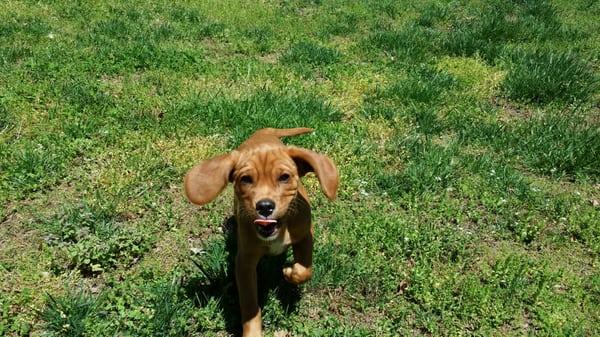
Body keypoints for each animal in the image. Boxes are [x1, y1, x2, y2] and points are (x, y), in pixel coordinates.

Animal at [184, 127, 338, 334]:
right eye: (246, 179)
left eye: (284, 177)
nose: (264, 206)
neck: (279, 229)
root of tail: (264, 132)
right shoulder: (244, 262)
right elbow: (250, 305)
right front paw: (253, 332)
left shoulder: (305, 236)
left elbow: (304, 269)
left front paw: (289, 272)